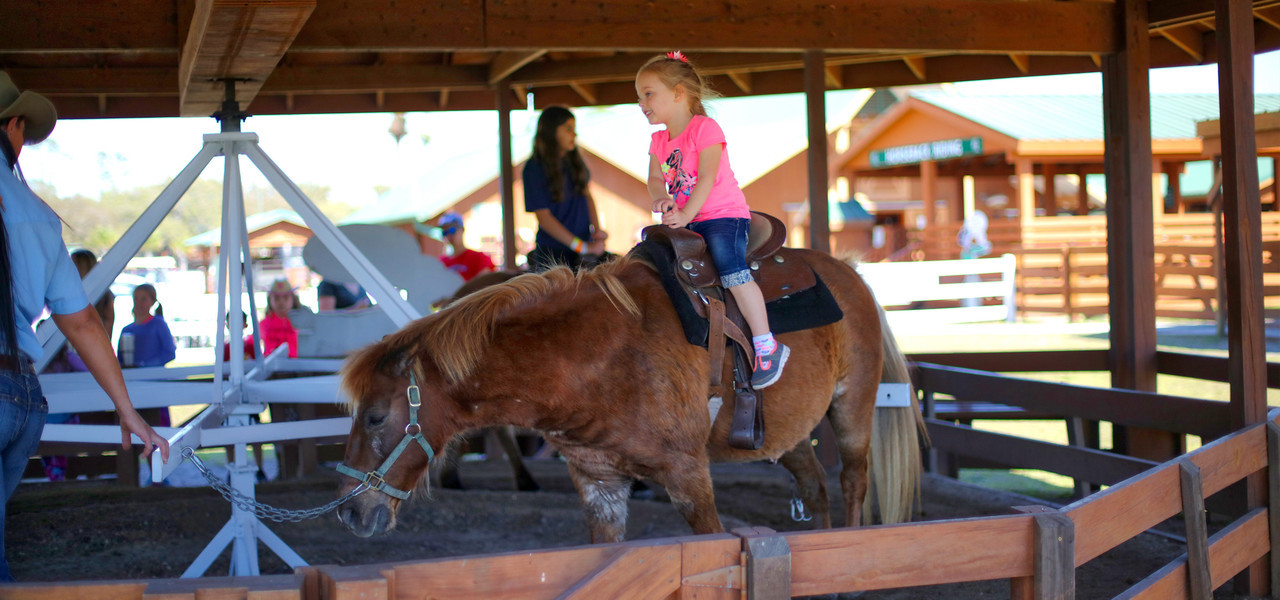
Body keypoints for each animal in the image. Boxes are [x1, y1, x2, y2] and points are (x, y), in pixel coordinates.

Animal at [337, 250, 921, 539]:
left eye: (375, 417)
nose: (351, 512)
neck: (603, 358)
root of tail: (850, 272)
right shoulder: (599, 487)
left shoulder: (688, 479)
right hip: (785, 432)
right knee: (816, 488)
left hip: (852, 408)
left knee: (851, 483)